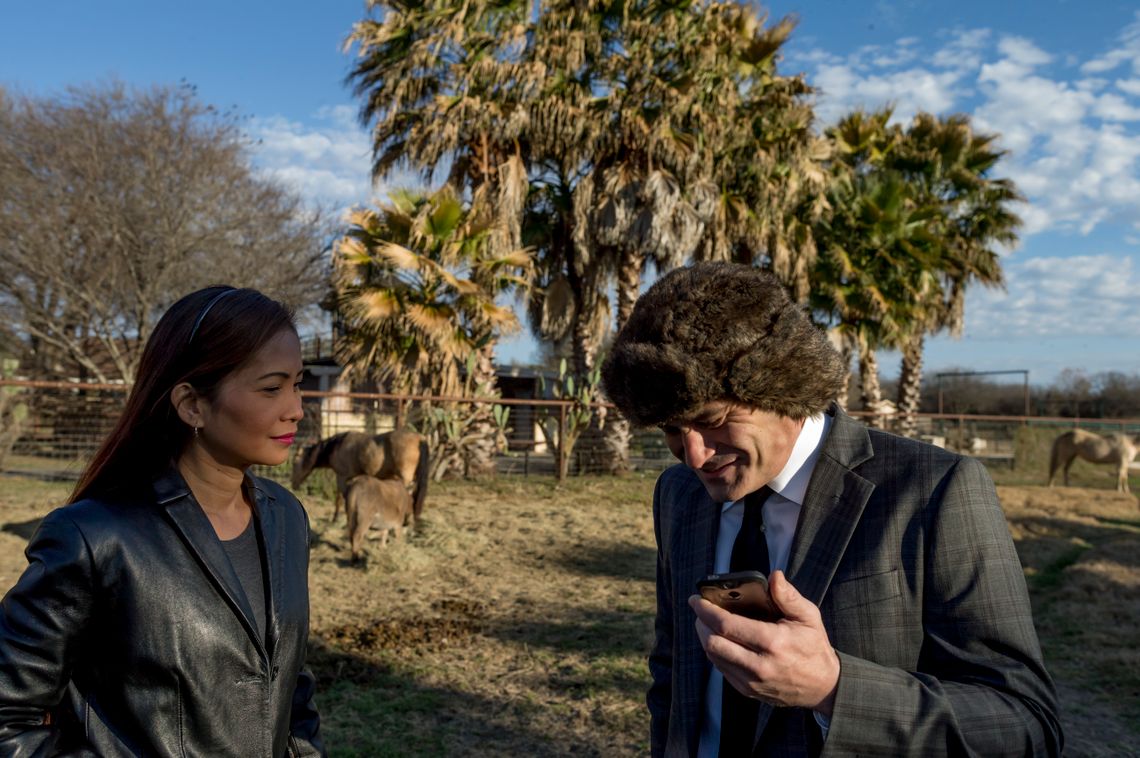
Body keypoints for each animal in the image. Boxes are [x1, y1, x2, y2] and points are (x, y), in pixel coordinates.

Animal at [291, 428, 428, 524]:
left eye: (295, 462)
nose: (293, 484)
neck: (336, 446)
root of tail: (419, 438)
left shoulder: (341, 476)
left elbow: (340, 498)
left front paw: (336, 518)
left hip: (405, 479)